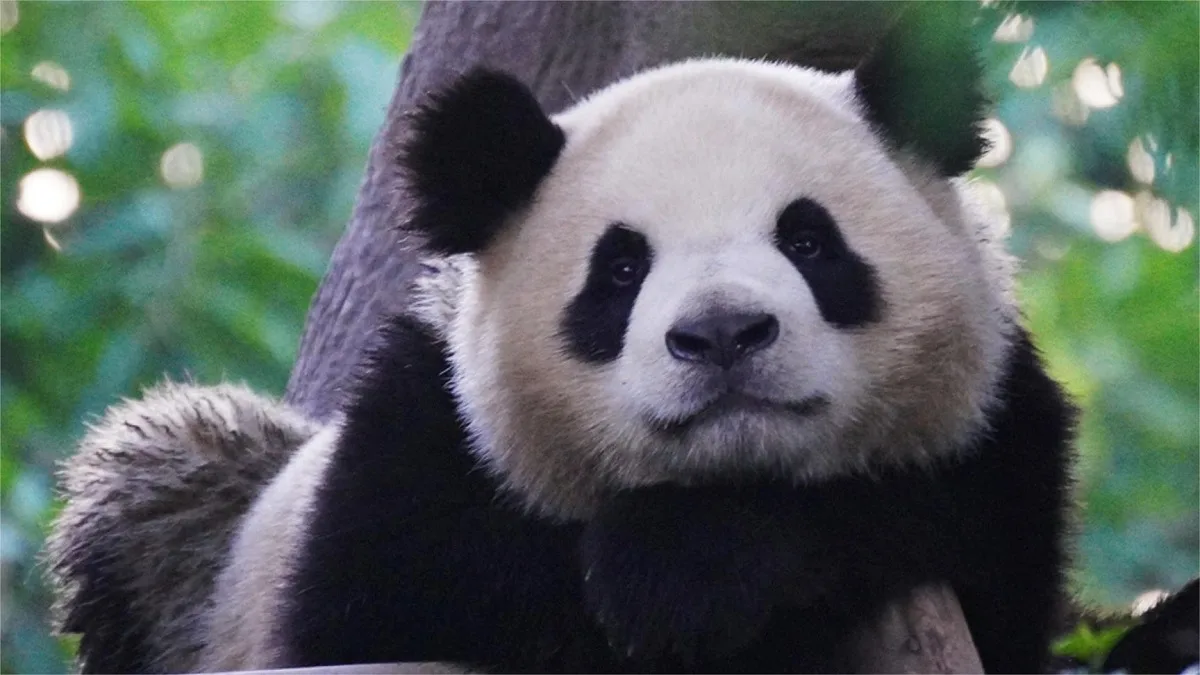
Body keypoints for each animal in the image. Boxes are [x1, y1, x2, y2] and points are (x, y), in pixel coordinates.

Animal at [45, 9, 1199, 675]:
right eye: (620, 270)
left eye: (810, 240)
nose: (724, 333)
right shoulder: (416, 453)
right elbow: (406, 615)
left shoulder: (1002, 442)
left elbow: (936, 534)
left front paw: (697, 567)